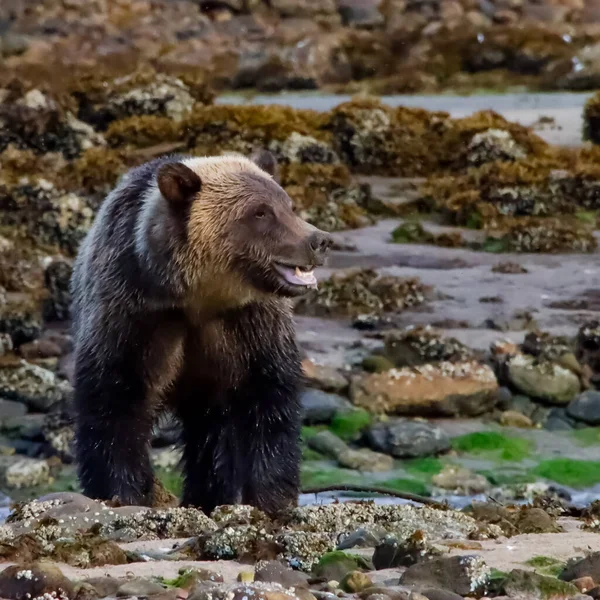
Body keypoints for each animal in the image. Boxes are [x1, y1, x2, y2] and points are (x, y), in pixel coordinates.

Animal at [71, 152, 332, 512]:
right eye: (260, 212)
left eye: (289, 205)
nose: (318, 241)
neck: (200, 297)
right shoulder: (134, 313)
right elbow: (114, 403)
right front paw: (122, 493)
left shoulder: (249, 326)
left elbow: (269, 401)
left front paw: (271, 497)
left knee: (212, 439)